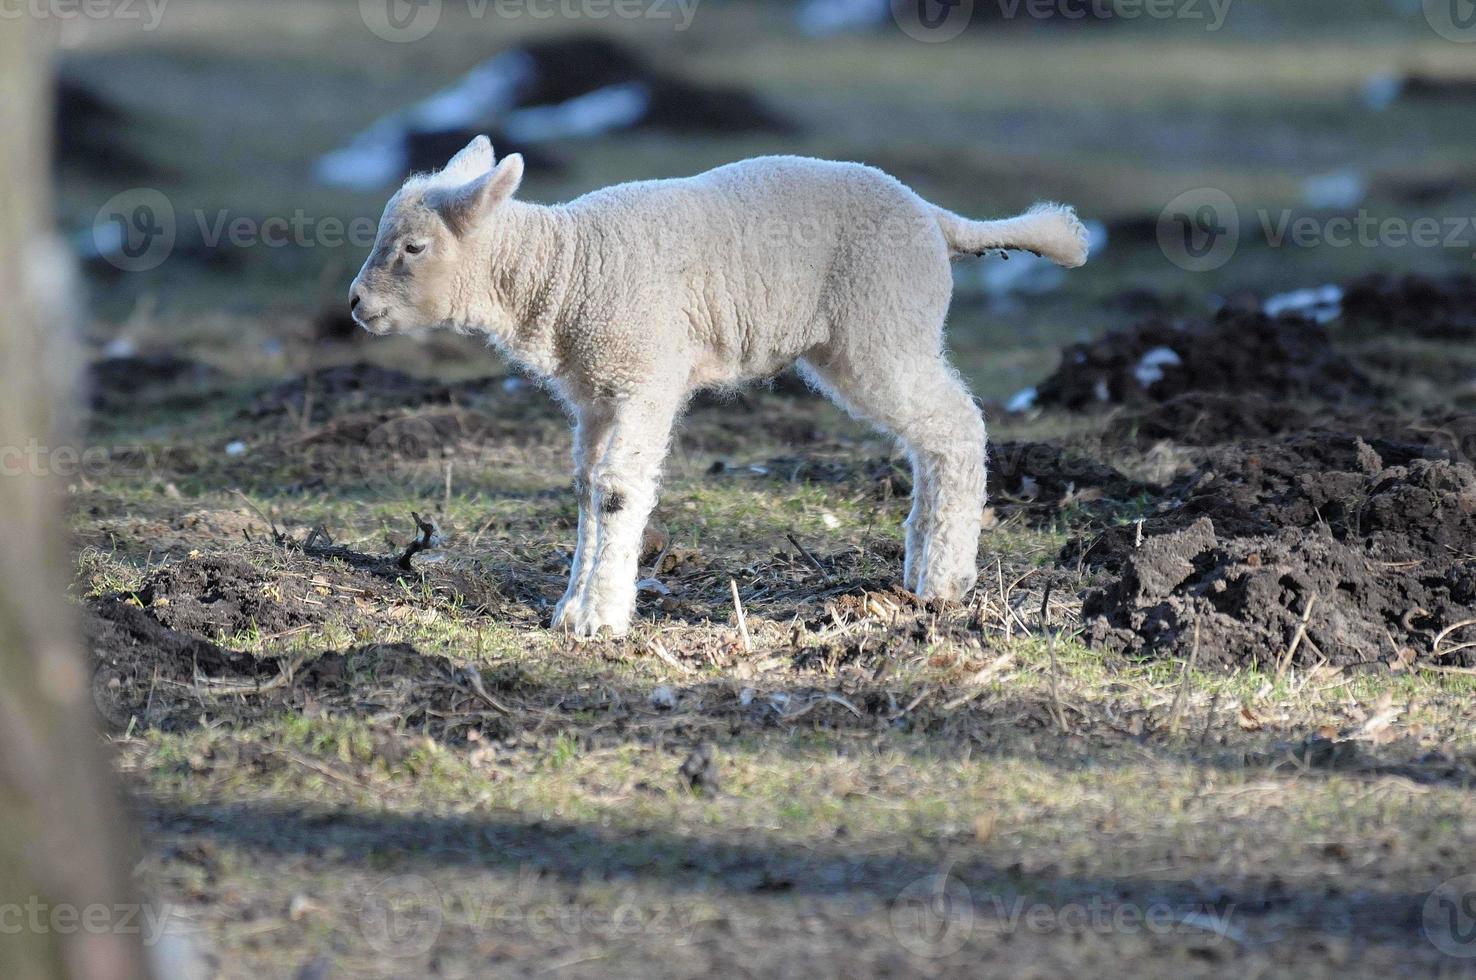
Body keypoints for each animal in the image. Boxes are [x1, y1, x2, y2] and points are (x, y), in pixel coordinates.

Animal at [351, 137, 1092, 640]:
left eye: (413, 248)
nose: (357, 304)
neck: (563, 267)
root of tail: (935, 218)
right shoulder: (596, 394)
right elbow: (589, 491)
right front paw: (571, 607)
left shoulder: (645, 375)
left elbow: (618, 492)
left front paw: (598, 619)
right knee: (931, 439)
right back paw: (919, 574)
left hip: (883, 324)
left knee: (958, 426)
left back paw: (945, 580)